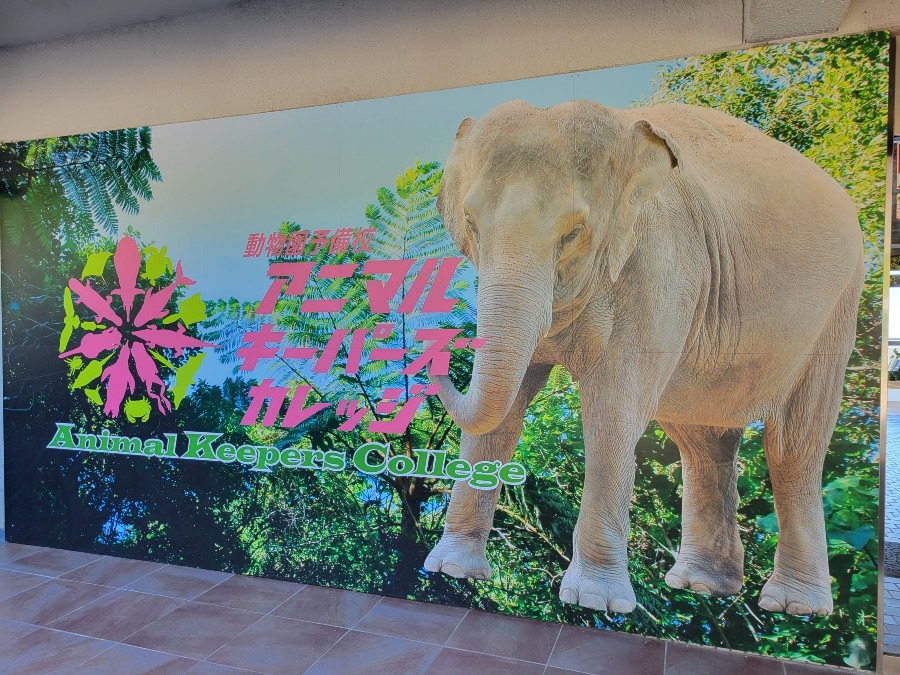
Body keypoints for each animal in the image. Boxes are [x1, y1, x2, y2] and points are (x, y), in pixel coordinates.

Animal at [426, 99, 868, 616]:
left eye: (573, 233)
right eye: (472, 226)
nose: (433, 350)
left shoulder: (660, 266)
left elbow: (613, 412)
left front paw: (594, 600)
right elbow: (505, 411)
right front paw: (452, 570)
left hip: (835, 315)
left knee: (794, 446)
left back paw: (794, 607)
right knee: (703, 442)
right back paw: (701, 586)